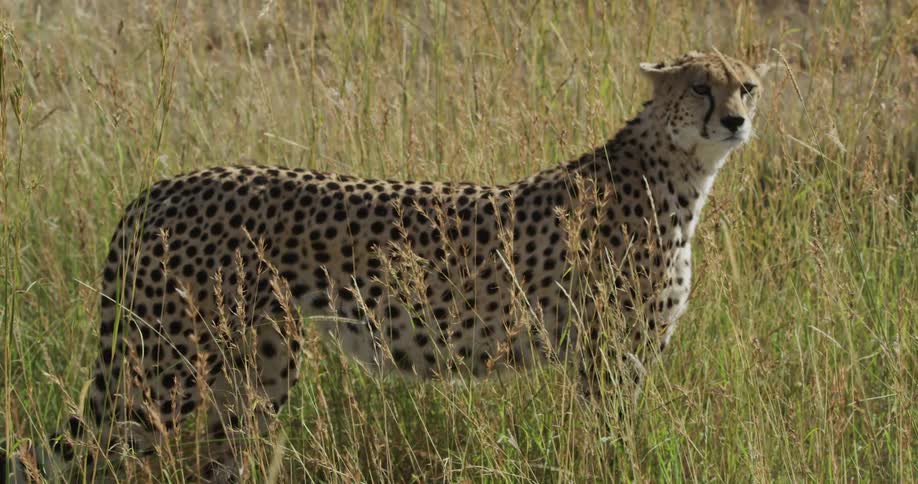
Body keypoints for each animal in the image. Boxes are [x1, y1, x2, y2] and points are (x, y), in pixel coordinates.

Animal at [2, 51, 770, 482]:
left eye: (748, 87)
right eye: (700, 88)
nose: (735, 120)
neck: (680, 172)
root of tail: (162, 185)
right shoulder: (606, 356)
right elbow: (611, 447)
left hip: (255, 365)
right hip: (165, 367)